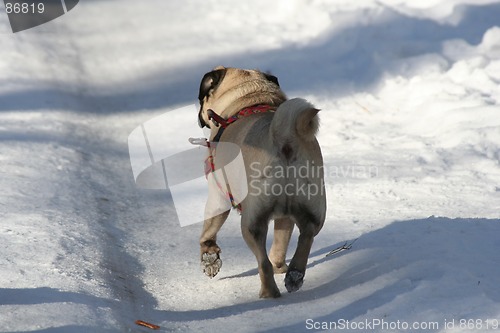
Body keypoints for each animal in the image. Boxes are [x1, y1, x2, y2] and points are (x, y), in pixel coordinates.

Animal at [197, 66, 326, 296]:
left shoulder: (218, 196)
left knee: (262, 262)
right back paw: (293, 274)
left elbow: (208, 231)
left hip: (251, 222)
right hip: (313, 209)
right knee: (305, 237)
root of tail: (284, 140)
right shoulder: (285, 218)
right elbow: (281, 243)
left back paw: (269, 293)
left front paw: (209, 258)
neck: (251, 99)